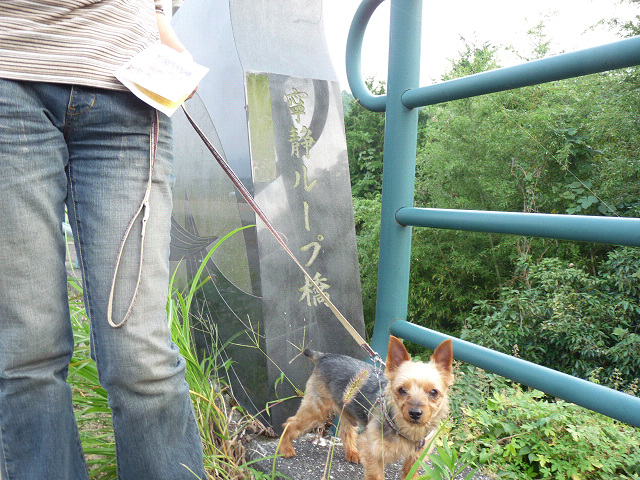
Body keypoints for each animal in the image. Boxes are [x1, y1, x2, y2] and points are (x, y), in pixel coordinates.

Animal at [280, 336, 454, 480]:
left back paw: (352, 453)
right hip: (317, 410)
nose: (415, 413)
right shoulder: (372, 451)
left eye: (433, 392)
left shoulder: (417, 456)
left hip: (346, 408)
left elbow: (410, 472)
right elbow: (375, 475)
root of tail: (323, 356)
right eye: (402, 390)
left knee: (345, 431)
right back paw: (285, 449)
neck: (407, 430)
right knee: (290, 422)